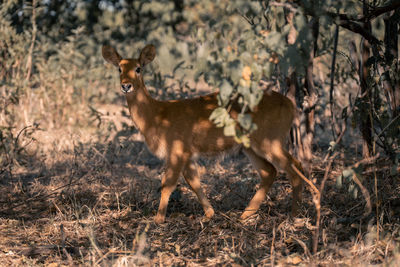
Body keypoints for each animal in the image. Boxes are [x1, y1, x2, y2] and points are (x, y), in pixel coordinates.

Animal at [101, 44, 304, 224]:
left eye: (138, 68)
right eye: (119, 68)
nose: (126, 86)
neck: (157, 114)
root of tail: (289, 104)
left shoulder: (177, 152)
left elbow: (167, 184)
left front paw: (157, 219)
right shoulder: (188, 156)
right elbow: (194, 183)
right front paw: (209, 213)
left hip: (269, 141)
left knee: (295, 166)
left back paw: (294, 215)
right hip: (251, 147)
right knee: (270, 172)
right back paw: (245, 215)